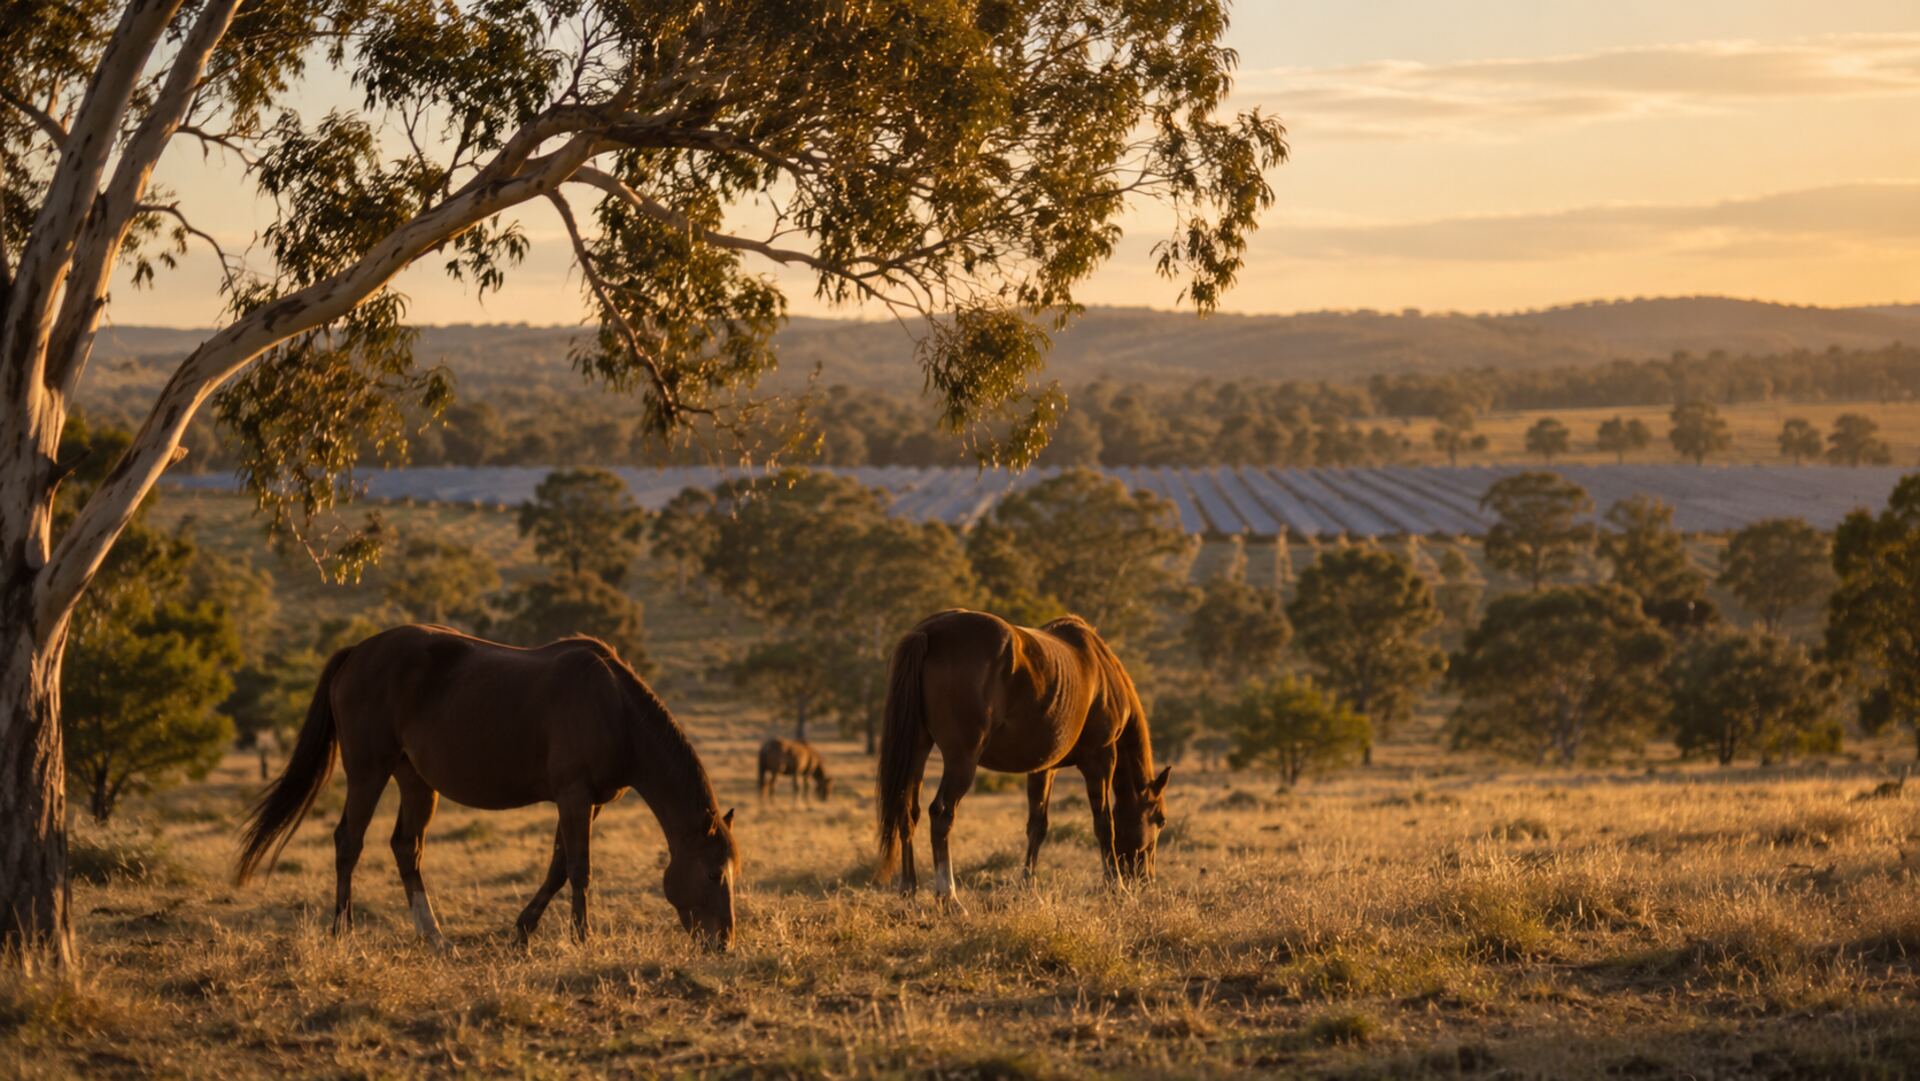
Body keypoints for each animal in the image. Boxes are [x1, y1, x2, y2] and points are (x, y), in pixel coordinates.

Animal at [234, 625, 739, 950]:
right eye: (715, 874)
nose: (723, 942)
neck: (615, 707)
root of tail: (357, 651)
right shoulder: (574, 796)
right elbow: (579, 869)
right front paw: (582, 937)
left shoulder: (587, 803)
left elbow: (557, 867)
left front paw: (523, 930)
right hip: (367, 772)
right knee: (348, 842)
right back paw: (343, 930)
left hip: (416, 782)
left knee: (406, 847)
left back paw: (434, 936)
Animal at [875, 609, 1171, 904]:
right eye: (1160, 819)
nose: (1147, 879)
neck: (1102, 672)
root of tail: (929, 631)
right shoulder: (1100, 758)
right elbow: (1104, 823)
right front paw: (1115, 885)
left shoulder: (1044, 768)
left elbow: (1037, 826)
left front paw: (1028, 885)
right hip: (961, 758)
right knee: (941, 814)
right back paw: (949, 896)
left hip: (917, 748)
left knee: (907, 811)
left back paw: (909, 890)